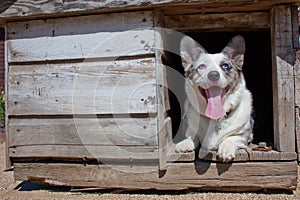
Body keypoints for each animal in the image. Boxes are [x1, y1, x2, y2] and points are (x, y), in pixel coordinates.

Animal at [176, 34, 253, 162]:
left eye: (225, 66)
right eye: (201, 66)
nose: (213, 75)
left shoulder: (244, 136)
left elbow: (232, 138)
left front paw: (226, 149)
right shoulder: (191, 131)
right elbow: (192, 136)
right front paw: (185, 143)